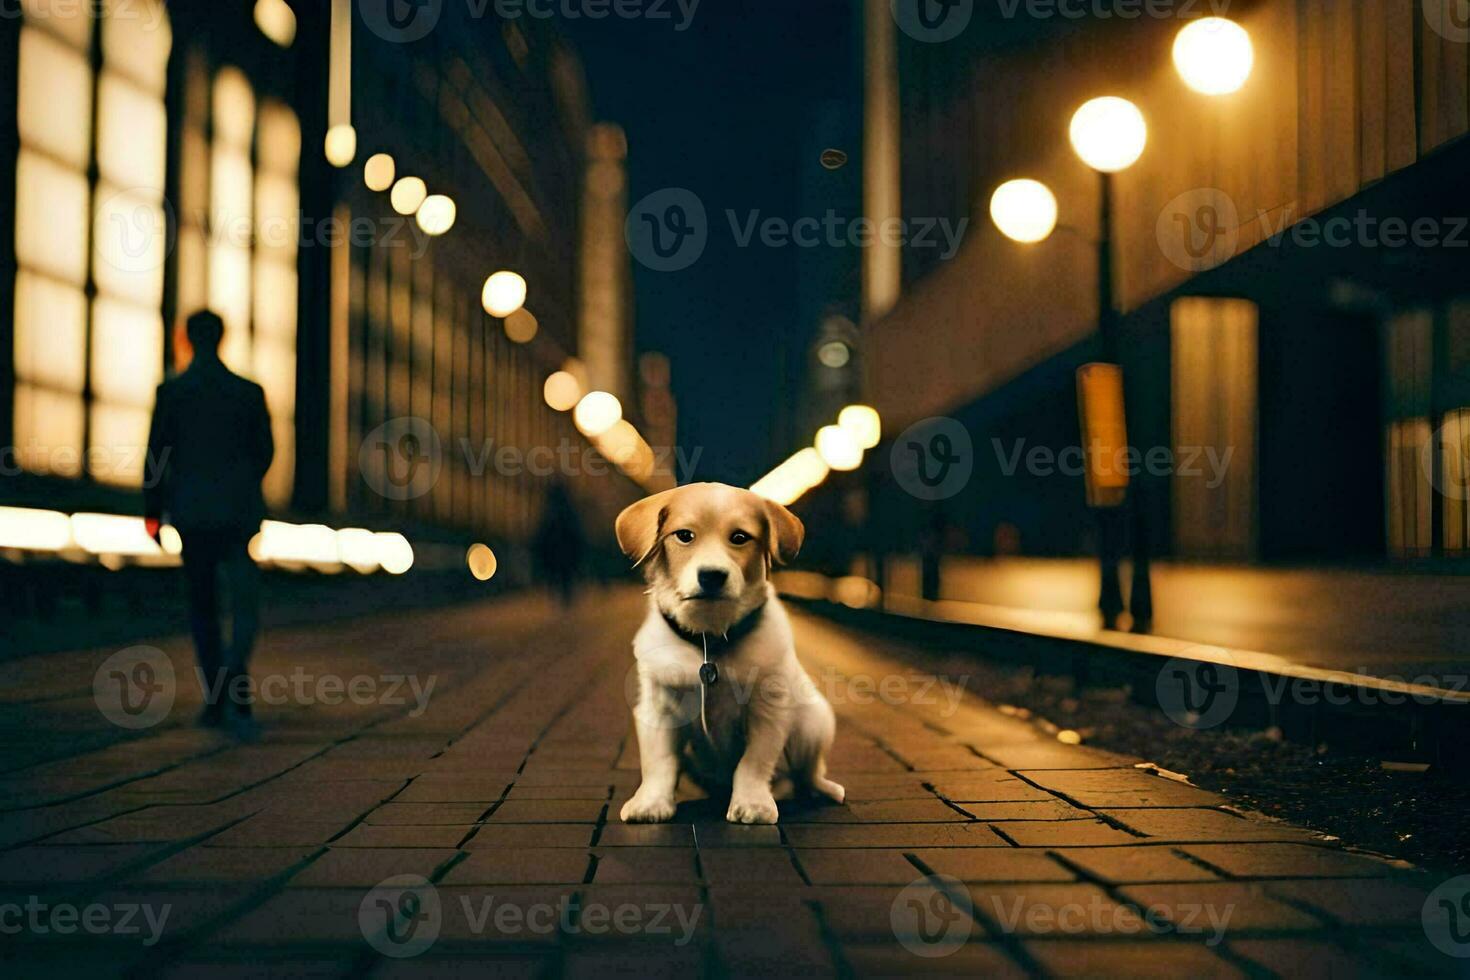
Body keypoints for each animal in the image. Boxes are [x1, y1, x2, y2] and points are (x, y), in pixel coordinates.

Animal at [614, 487, 846, 822]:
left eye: (739, 537)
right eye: (684, 535)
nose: (712, 576)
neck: (709, 640)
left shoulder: (768, 710)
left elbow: (754, 762)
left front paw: (753, 802)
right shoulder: (659, 708)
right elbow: (660, 762)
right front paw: (652, 802)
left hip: (813, 723)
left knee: (808, 773)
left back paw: (824, 789)